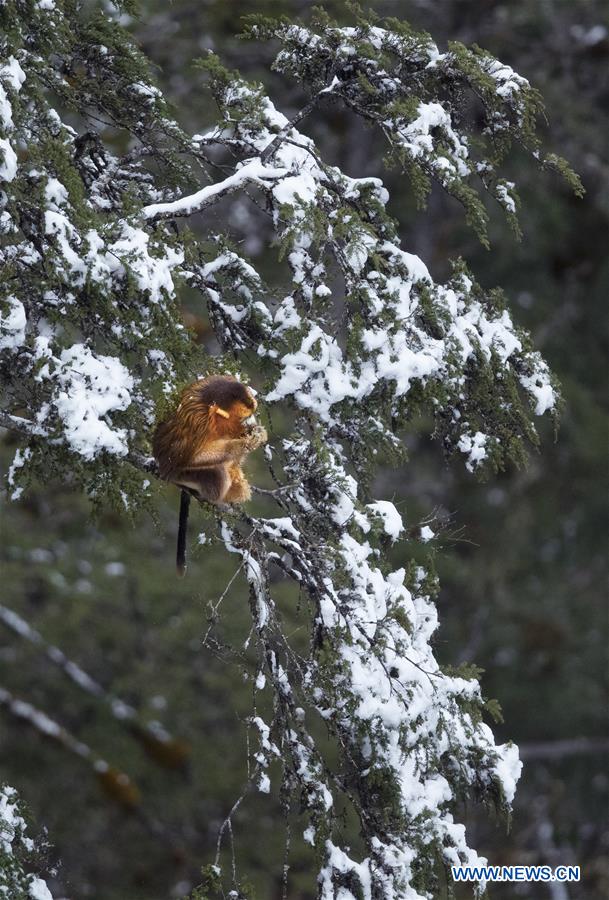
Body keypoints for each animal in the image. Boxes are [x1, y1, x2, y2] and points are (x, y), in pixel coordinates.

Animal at [152, 375, 267, 575]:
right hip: (181, 474)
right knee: (216, 473)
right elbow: (193, 455)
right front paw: (242, 443)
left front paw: (256, 433)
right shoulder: (199, 419)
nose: (253, 405)